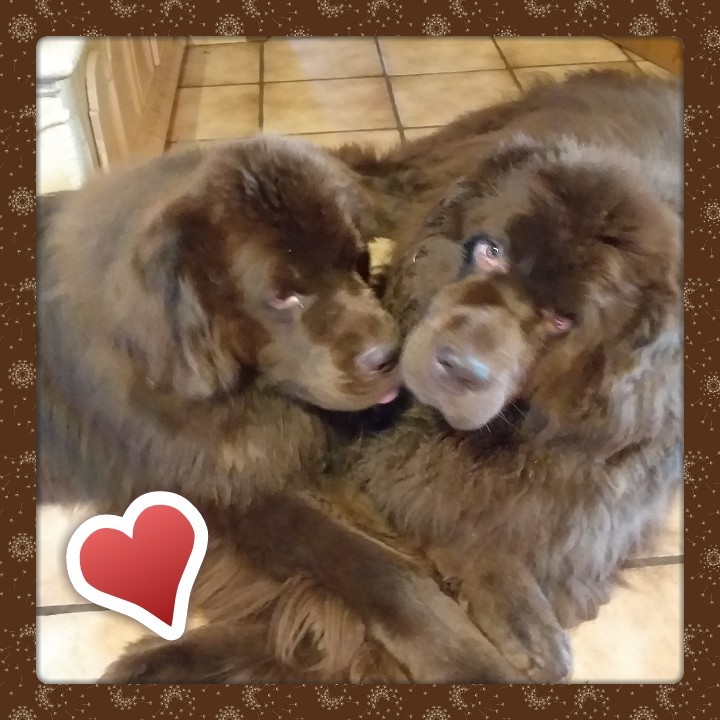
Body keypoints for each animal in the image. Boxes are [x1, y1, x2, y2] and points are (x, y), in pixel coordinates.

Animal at [38, 135, 525, 682]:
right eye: (284, 295)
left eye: (357, 261)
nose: (392, 353)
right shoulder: (222, 493)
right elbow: (376, 565)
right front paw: (463, 657)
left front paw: (508, 602)